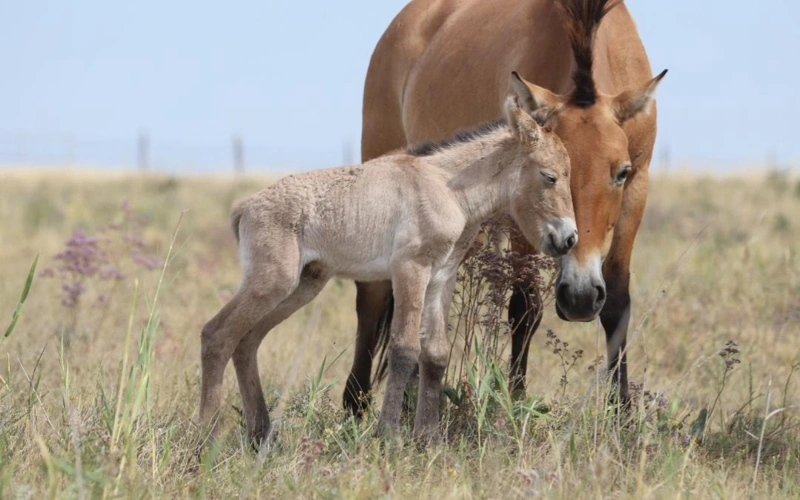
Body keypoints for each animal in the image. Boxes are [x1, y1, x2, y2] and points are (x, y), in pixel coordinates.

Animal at [199, 85, 577, 446]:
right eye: (550, 177)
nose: (568, 239)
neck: (447, 188)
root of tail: (245, 207)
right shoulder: (410, 269)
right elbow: (404, 348)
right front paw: (389, 437)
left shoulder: (441, 276)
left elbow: (436, 354)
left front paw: (429, 439)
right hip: (272, 282)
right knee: (217, 335)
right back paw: (206, 441)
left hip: (302, 286)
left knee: (246, 342)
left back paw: (261, 436)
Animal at [343, 0, 667, 415]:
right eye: (543, 174)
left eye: (621, 172)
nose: (579, 298)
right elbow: (525, 307)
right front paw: (514, 404)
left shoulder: (637, 190)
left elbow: (617, 301)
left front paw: (621, 413)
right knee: (372, 295)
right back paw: (356, 402)